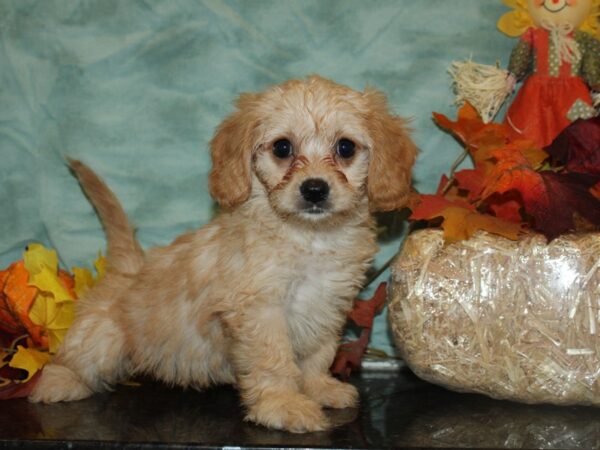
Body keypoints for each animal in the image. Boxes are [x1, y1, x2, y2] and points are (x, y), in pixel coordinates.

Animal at [29, 75, 418, 434]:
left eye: (345, 147)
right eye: (282, 148)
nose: (314, 189)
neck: (309, 238)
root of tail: (129, 266)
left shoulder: (328, 307)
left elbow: (318, 355)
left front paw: (319, 389)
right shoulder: (260, 311)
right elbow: (275, 361)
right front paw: (284, 405)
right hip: (102, 339)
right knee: (72, 361)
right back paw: (58, 385)